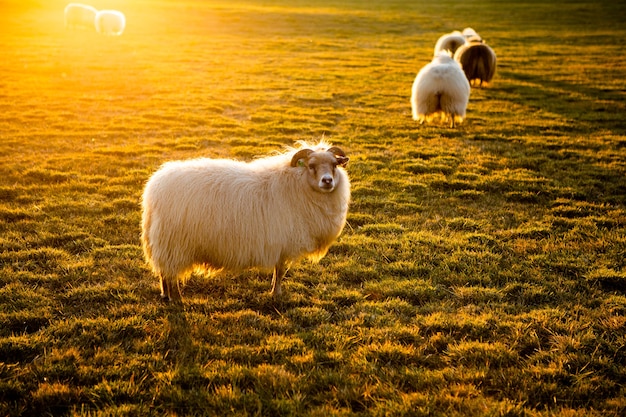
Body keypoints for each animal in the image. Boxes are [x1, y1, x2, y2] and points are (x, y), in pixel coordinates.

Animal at [138, 141, 348, 300]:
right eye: (311, 166)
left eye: (334, 165)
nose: (327, 181)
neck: (297, 184)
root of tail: (153, 189)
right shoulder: (283, 241)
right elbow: (280, 271)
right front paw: (276, 294)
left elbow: (278, 270)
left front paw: (274, 291)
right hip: (173, 243)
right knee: (170, 273)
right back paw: (176, 298)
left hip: (164, 243)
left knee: (164, 273)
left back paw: (166, 295)